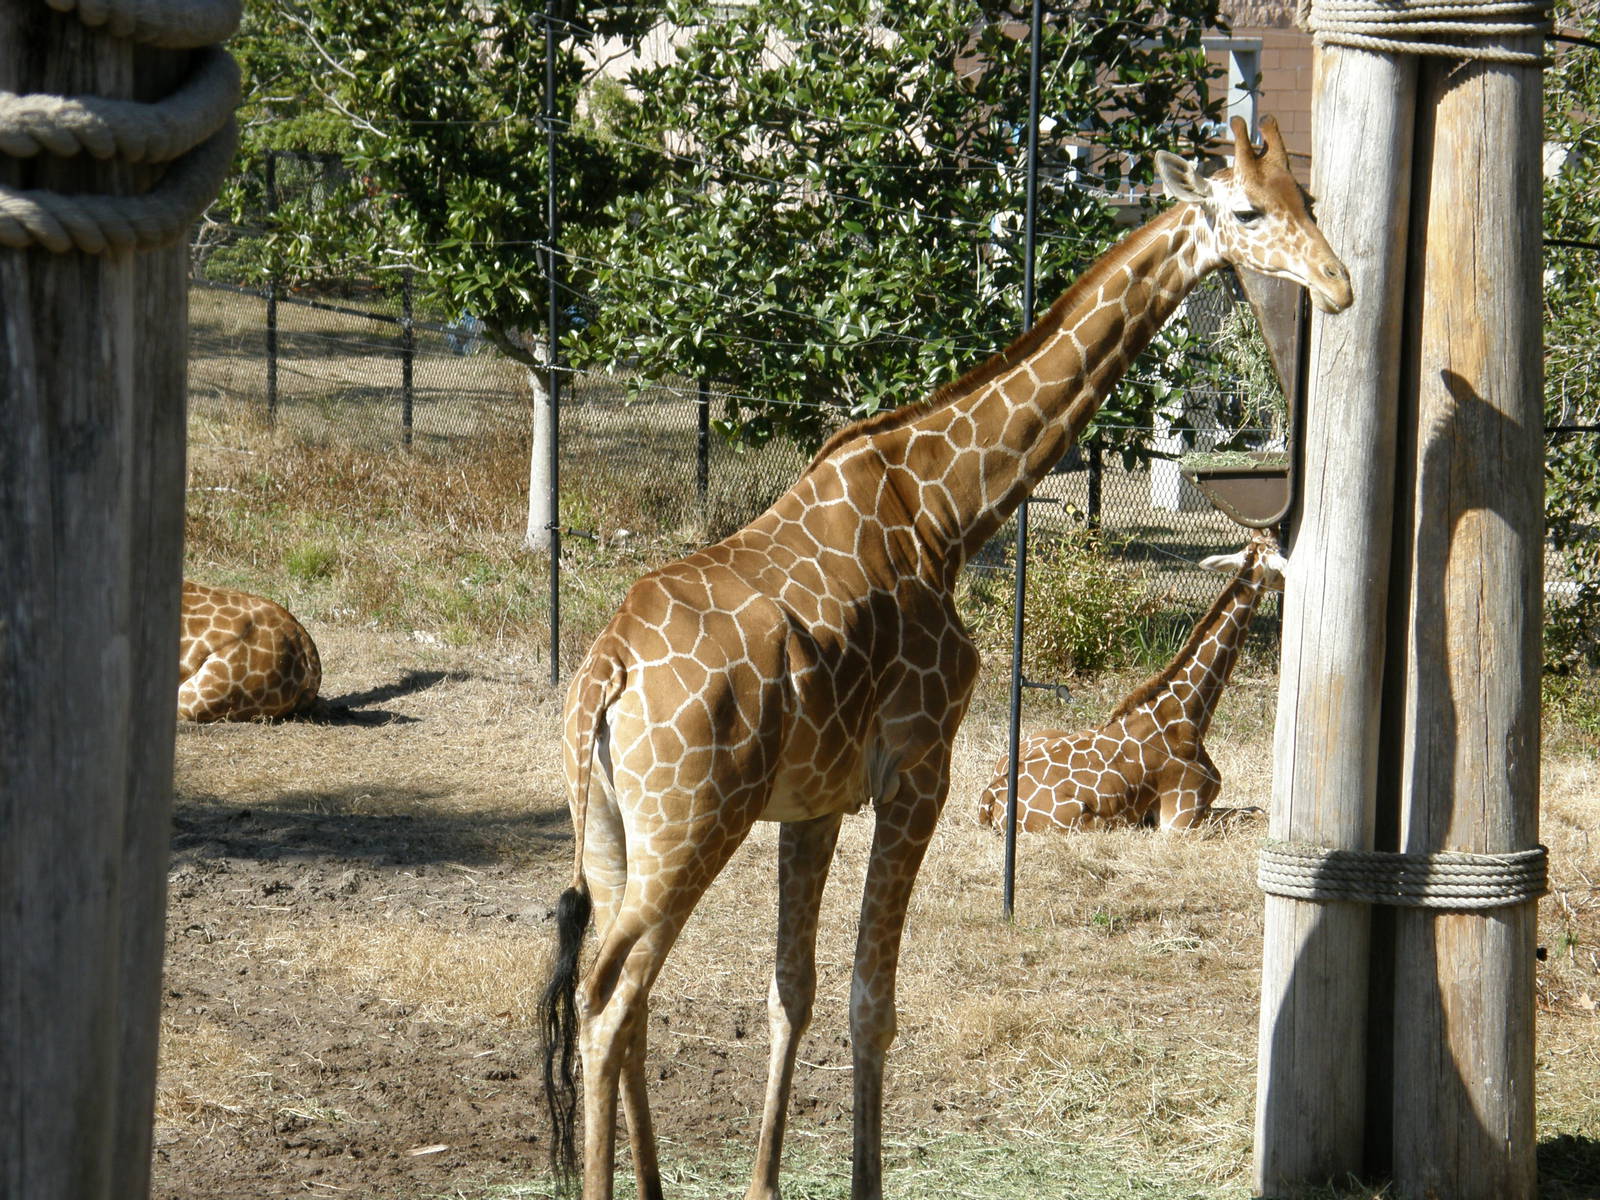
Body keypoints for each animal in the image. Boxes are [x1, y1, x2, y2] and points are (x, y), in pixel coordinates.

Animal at [976, 530, 1286, 834]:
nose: (1286, 586)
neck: (1189, 714)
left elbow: (1256, 809)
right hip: (1090, 821)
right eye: (1281, 560)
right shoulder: (1178, 820)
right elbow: (1256, 813)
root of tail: (989, 799)